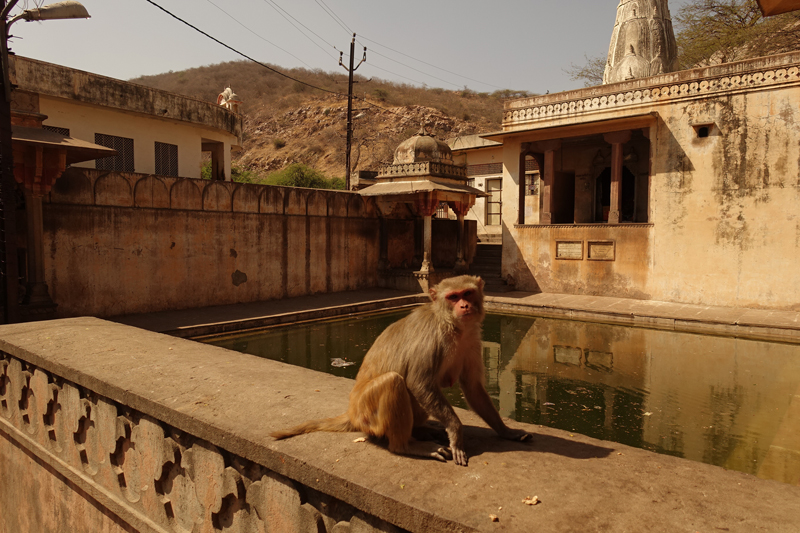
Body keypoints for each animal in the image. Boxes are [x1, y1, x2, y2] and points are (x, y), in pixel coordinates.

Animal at [272, 274, 536, 466]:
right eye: (452, 297)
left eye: (468, 293)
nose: (464, 305)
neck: (453, 326)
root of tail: (352, 412)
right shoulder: (432, 338)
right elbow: (419, 382)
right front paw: (456, 432)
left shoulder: (472, 341)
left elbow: (473, 388)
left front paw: (506, 431)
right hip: (367, 415)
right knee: (394, 382)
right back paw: (407, 446)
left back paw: (421, 429)